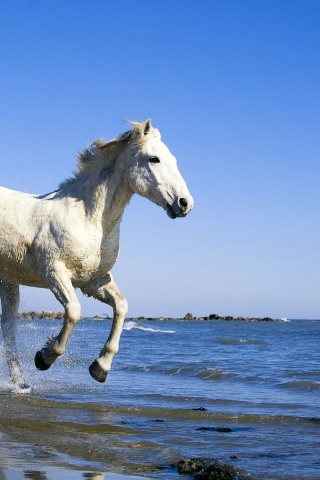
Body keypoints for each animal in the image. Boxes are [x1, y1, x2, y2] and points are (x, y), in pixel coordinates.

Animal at [0, 120, 194, 390]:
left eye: (173, 159)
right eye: (153, 159)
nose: (185, 203)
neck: (87, 218)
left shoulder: (93, 281)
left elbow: (121, 306)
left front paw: (100, 368)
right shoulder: (54, 272)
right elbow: (73, 311)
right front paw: (44, 357)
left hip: (9, 282)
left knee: (8, 328)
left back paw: (21, 384)